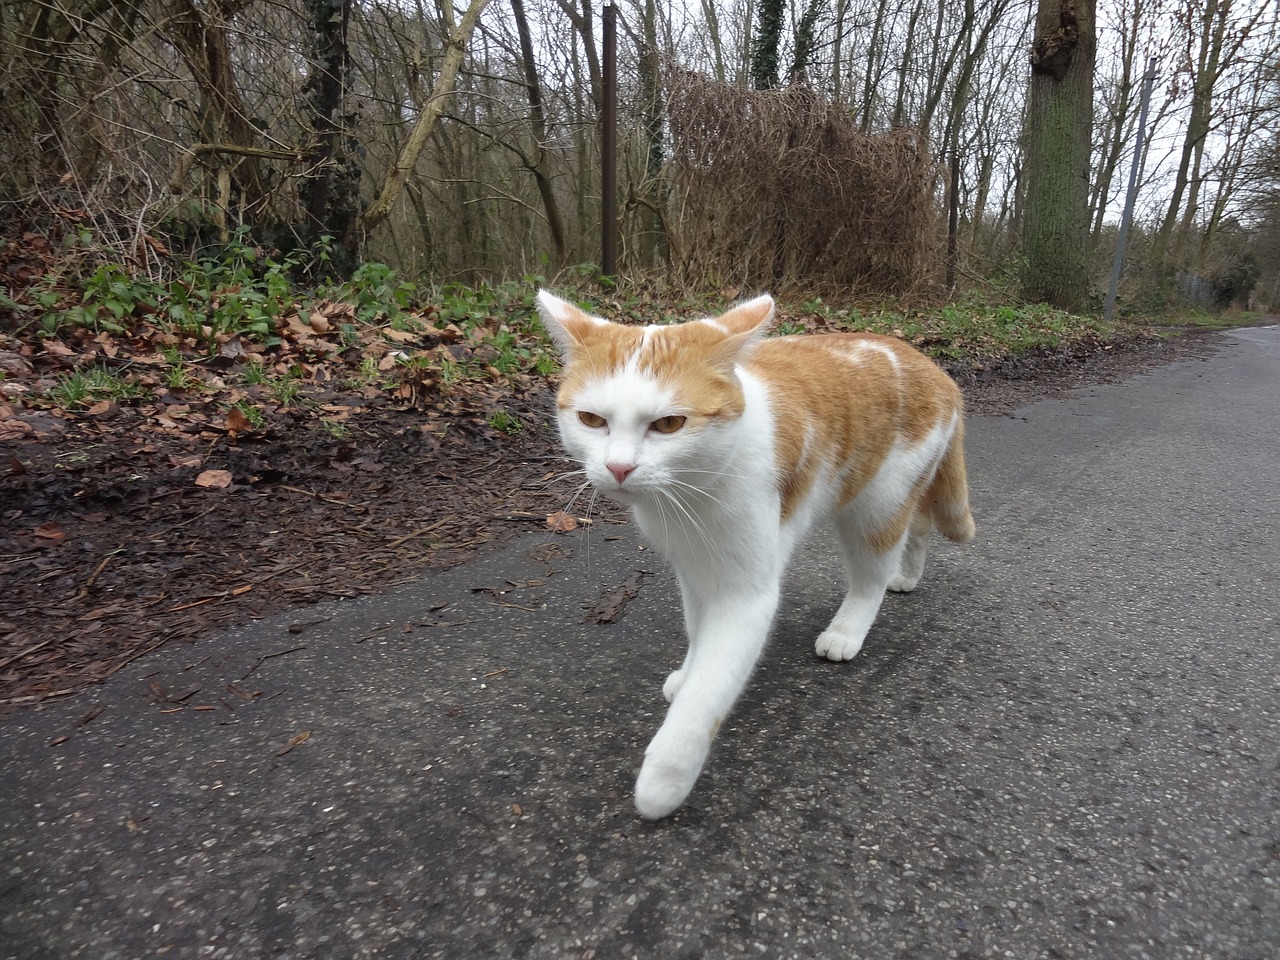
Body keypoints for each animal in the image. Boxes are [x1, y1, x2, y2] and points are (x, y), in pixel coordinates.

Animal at [535, 289, 972, 824]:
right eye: (592, 420)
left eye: (669, 424)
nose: (619, 467)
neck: (687, 497)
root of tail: (932, 366)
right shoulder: (693, 570)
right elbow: (698, 634)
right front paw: (688, 672)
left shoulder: (745, 594)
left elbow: (709, 692)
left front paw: (664, 779)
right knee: (920, 524)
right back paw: (908, 574)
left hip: (877, 502)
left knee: (873, 570)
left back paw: (849, 629)